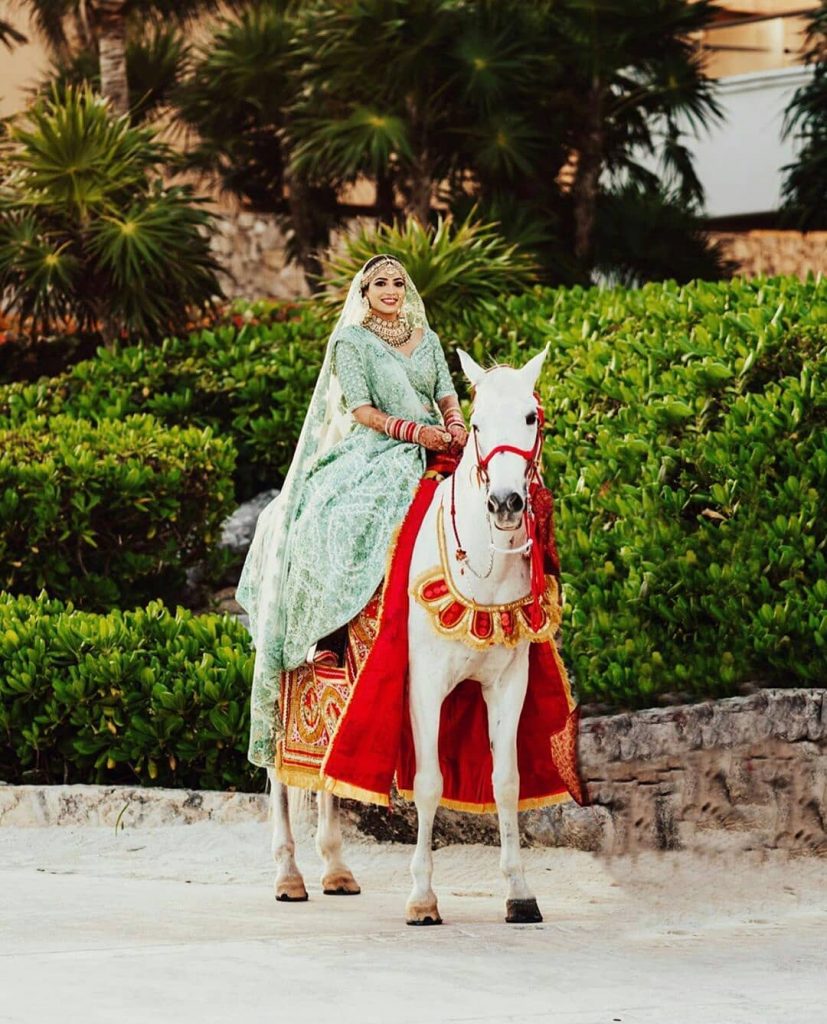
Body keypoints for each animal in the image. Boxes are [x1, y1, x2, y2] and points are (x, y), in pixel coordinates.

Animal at [266, 348, 548, 925]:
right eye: (478, 424)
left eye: (530, 418)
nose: (505, 502)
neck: (481, 570)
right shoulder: (423, 685)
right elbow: (429, 784)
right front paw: (422, 899)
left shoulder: (509, 682)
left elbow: (507, 783)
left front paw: (519, 892)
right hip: (272, 674)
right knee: (276, 777)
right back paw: (288, 876)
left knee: (324, 771)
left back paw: (336, 870)